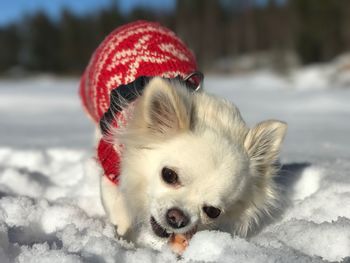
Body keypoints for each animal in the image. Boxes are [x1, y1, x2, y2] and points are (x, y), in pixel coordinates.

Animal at [80, 20, 288, 252]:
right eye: (169, 175)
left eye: (212, 211)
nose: (178, 218)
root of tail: (140, 22)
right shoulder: (111, 163)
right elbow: (119, 211)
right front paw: (123, 240)